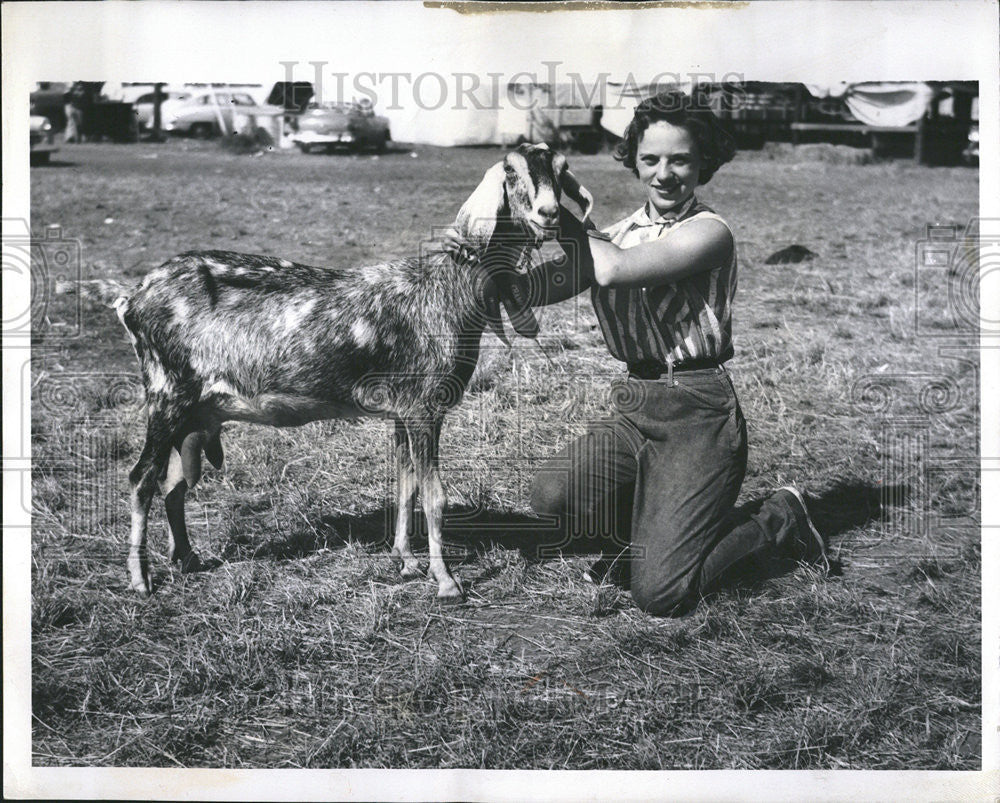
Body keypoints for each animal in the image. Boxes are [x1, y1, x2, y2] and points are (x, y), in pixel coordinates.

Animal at [116, 143, 588, 596]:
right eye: (510, 171)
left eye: (562, 169)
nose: (548, 213)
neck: (446, 290)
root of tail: (132, 298)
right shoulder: (425, 407)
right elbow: (434, 495)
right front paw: (446, 581)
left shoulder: (402, 410)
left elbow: (406, 484)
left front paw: (406, 559)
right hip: (166, 395)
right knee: (142, 478)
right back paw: (140, 579)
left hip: (194, 413)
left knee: (173, 484)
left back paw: (187, 558)